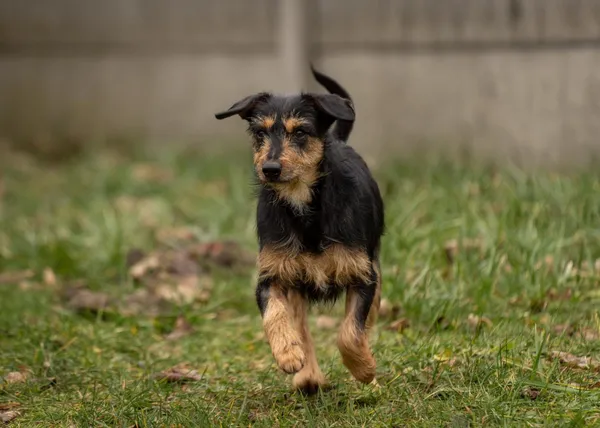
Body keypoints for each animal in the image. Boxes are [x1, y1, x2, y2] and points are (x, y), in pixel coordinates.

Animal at [216, 64, 384, 394]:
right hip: (294, 285)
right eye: (260, 132)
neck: (302, 203)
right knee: (300, 324)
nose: (269, 169)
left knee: (367, 320)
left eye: (301, 132)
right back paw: (307, 374)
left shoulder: (363, 275)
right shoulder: (271, 276)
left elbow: (351, 331)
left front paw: (364, 368)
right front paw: (288, 353)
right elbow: (275, 314)